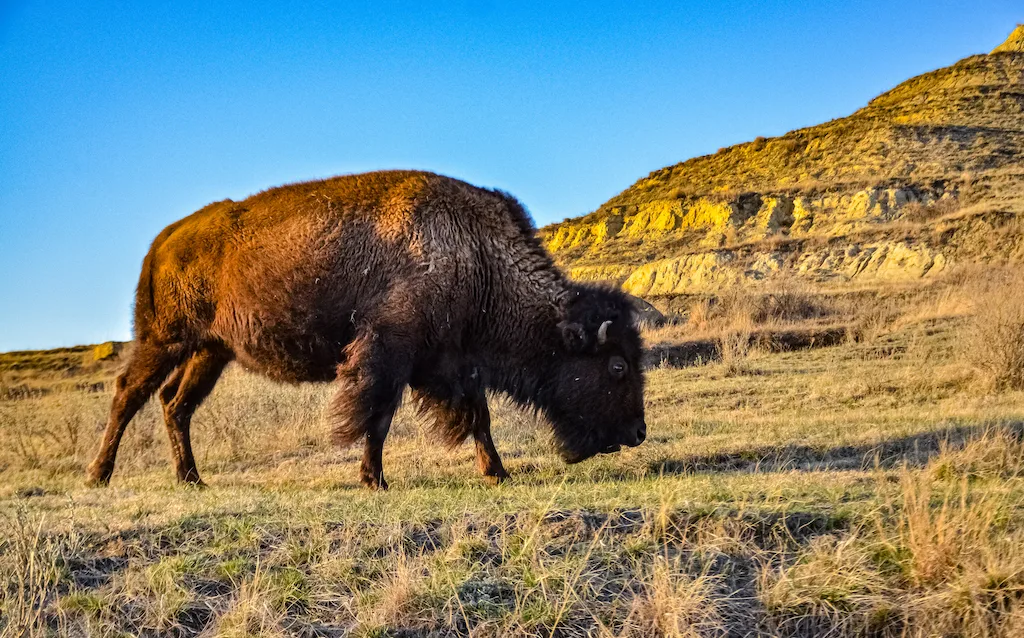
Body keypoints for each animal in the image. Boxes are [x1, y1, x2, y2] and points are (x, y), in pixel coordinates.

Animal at [88, 169, 647, 489]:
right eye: (617, 366)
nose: (638, 433)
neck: (475, 253)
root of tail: (164, 241)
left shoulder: (453, 361)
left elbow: (479, 417)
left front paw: (498, 473)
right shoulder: (388, 353)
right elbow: (377, 418)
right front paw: (373, 480)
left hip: (211, 351)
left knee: (174, 404)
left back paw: (192, 480)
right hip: (165, 340)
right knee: (128, 394)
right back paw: (100, 475)